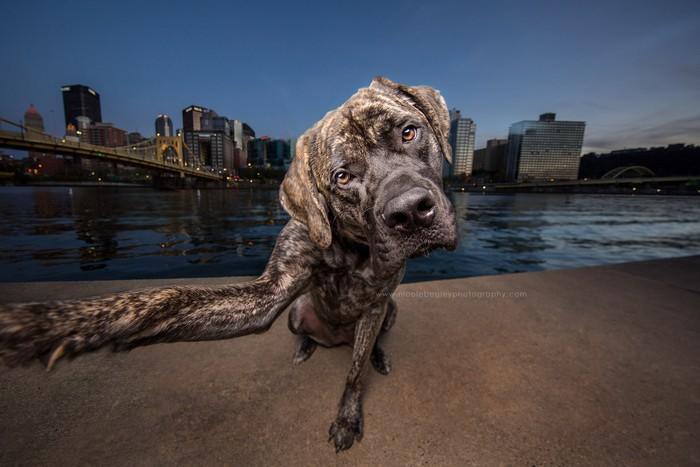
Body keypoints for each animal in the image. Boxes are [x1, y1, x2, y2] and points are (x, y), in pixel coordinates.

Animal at [0, 77, 460, 454]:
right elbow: (164, 299)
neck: (354, 246)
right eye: (342, 177)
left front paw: (347, 417)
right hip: (296, 313)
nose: (410, 212)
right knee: (306, 332)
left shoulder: (377, 302)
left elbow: (354, 374)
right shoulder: (270, 293)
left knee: (368, 344)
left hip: (388, 312)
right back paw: (305, 347)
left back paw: (376, 354)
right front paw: (59, 324)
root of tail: (335, 339)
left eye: (409, 132)